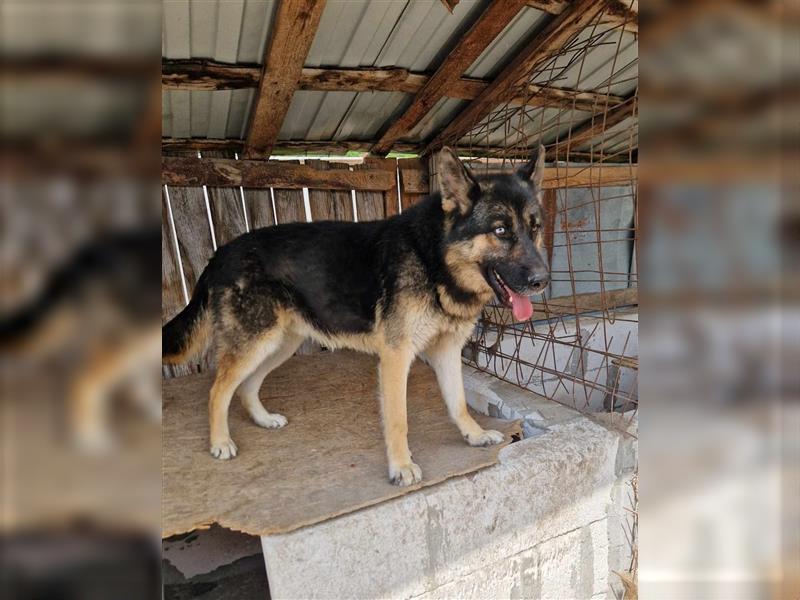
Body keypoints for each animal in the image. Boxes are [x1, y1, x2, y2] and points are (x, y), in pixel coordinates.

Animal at [162, 148, 552, 486]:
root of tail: (220, 252)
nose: (542, 280)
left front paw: (473, 435)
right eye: (501, 230)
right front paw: (401, 467)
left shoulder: (446, 352)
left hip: (278, 344)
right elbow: (398, 420)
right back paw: (220, 443)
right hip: (256, 343)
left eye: (534, 228)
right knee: (218, 390)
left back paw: (263, 419)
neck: (434, 259)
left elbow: (457, 403)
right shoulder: (396, 357)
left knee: (245, 387)